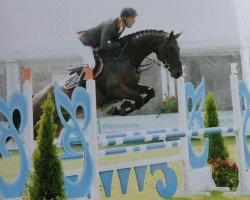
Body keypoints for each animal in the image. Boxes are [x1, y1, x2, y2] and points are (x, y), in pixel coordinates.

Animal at [26, 29, 183, 138]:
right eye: (171, 48)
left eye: (179, 48)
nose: (178, 73)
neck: (126, 58)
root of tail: (35, 96)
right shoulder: (116, 89)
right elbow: (138, 99)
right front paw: (121, 109)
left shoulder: (132, 87)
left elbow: (151, 91)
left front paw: (122, 107)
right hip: (37, 120)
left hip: (58, 122)